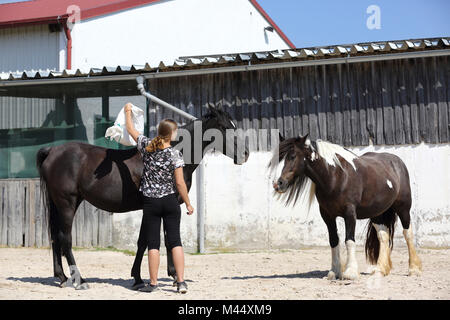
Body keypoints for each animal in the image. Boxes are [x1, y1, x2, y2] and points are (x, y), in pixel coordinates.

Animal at [36, 106, 250, 288]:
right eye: (224, 127)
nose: (245, 154)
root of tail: (52, 151)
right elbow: (158, 240)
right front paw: (167, 276)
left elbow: (149, 241)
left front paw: (142, 277)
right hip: (67, 203)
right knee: (65, 239)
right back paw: (79, 280)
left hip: (58, 203)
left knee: (55, 237)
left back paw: (62, 277)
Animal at [270, 134, 422, 280]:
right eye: (280, 159)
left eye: (292, 156)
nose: (278, 184)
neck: (336, 176)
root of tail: (397, 162)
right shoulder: (327, 215)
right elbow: (333, 241)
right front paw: (334, 272)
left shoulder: (349, 213)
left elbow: (349, 240)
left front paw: (350, 272)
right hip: (377, 213)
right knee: (383, 235)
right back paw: (380, 270)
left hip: (403, 208)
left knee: (407, 233)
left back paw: (414, 269)